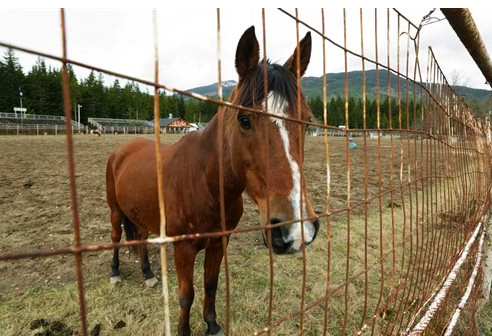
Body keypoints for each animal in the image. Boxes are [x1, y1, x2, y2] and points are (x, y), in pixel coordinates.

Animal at [105, 26, 320, 336]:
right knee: (114, 237)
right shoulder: (183, 248)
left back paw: (147, 274)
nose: (296, 228)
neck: (206, 183)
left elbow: (211, 284)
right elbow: (186, 295)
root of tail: (123, 148)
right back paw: (114, 273)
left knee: (142, 238)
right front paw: (184, 330)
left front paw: (212, 324)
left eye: (307, 121)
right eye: (244, 119)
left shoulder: (220, 243)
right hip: (114, 210)